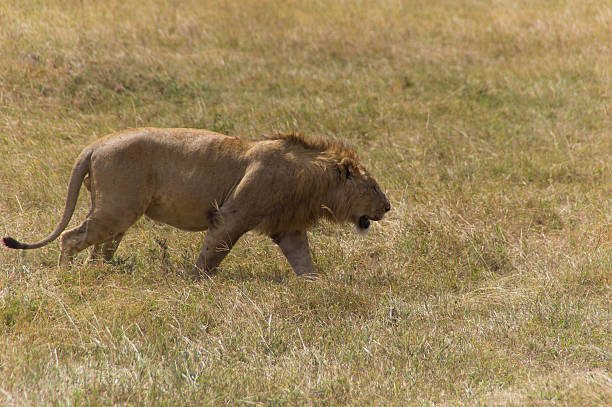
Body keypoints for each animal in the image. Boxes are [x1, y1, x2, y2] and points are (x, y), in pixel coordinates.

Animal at [2, 129, 390, 278]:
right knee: (72, 238)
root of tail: (96, 144)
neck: (311, 181)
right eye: (373, 186)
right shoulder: (231, 217)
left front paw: (318, 284)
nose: (387, 207)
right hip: (116, 208)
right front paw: (195, 281)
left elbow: (304, 261)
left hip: (118, 213)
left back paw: (104, 273)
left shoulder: (288, 228)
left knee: (100, 248)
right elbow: (212, 253)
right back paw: (65, 275)